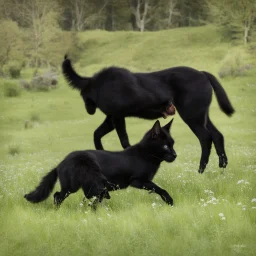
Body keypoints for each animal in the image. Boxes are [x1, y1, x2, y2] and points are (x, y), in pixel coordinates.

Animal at [24, 119, 176, 209]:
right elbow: (160, 189)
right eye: (165, 146)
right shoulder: (138, 181)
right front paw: (169, 201)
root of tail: (60, 164)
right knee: (57, 195)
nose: (175, 155)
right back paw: (57, 211)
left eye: (172, 144)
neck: (146, 154)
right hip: (72, 185)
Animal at [61, 55, 234, 173]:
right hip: (202, 115)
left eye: (83, 95)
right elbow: (97, 134)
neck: (100, 85)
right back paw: (222, 166)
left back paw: (200, 170)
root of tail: (202, 73)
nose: (89, 110)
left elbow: (124, 141)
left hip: (192, 116)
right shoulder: (111, 118)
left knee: (206, 138)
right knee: (217, 136)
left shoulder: (117, 116)